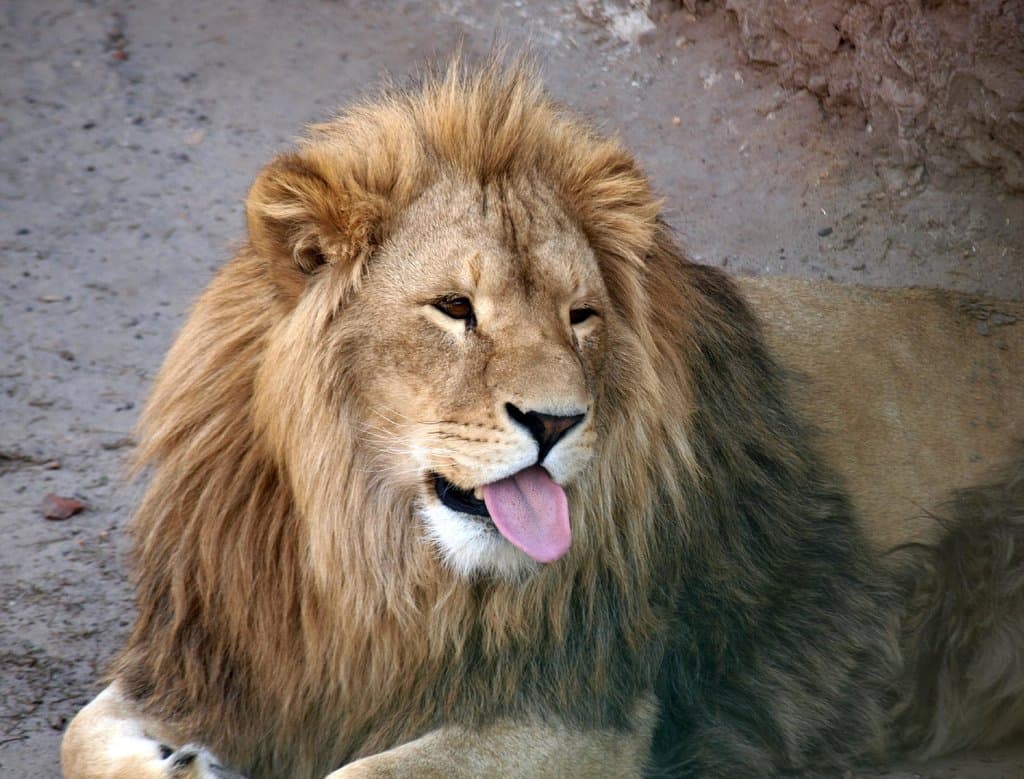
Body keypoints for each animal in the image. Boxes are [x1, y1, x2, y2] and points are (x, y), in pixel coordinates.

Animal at [61, 59, 1024, 778]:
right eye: (455, 308)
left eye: (580, 316)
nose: (557, 423)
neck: (370, 559)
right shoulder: (224, 649)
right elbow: (81, 732)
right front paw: (181, 758)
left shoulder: (589, 709)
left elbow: (362, 768)